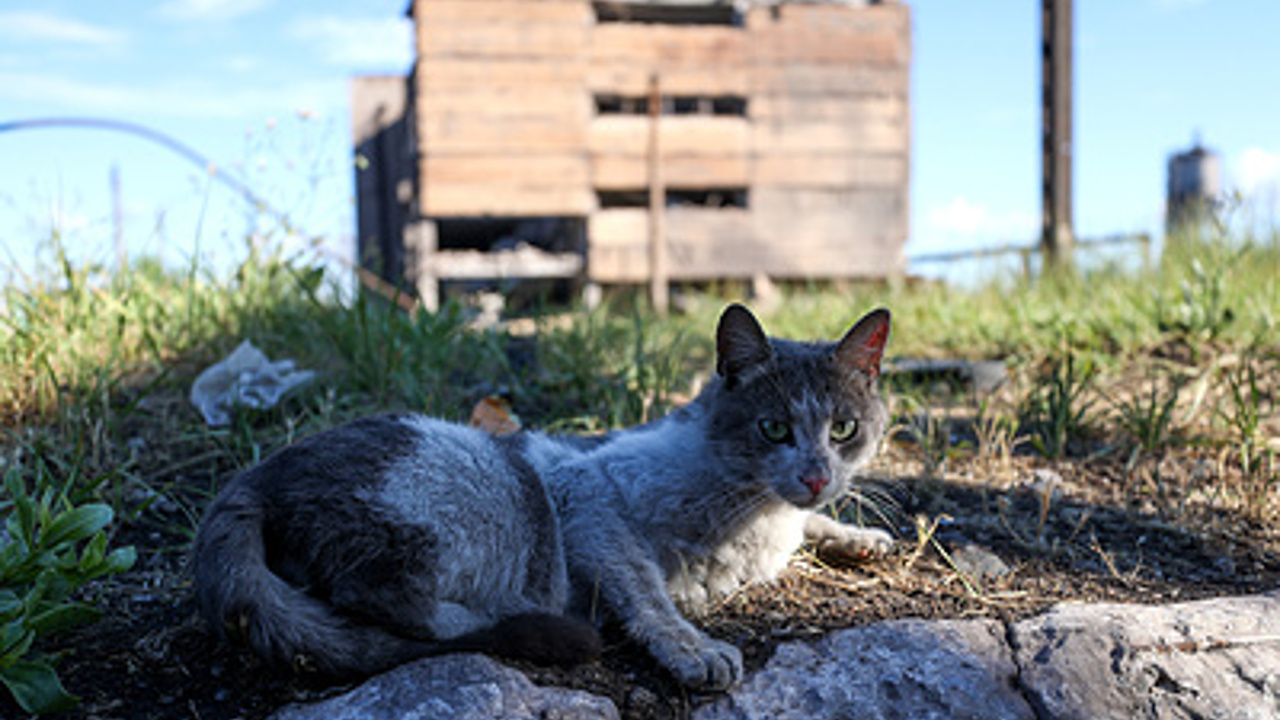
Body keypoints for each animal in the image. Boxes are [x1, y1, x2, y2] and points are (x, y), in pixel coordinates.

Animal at [197, 299, 890, 686]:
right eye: (773, 428)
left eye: (844, 429)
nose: (816, 475)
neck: (760, 517)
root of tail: (252, 478)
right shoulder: (585, 498)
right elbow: (644, 588)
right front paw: (692, 648)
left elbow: (816, 524)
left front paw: (859, 536)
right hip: (478, 483)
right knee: (371, 592)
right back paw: (503, 618)